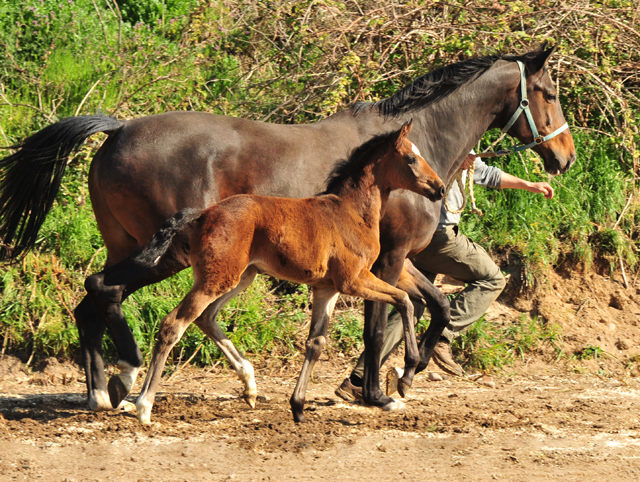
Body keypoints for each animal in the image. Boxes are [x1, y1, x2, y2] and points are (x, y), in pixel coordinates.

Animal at [0, 43, 576, 412]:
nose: (564, 158)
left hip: (139, 246)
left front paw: (402, 376)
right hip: (168, 253)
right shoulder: (388, 260)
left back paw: (106, 390)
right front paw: (378, 391)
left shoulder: (396, 261)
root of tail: (118, 129)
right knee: (110, 291)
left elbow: (430, 305)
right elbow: (381, 323)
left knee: (94, 298)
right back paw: (128, 377)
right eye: (548, 92)